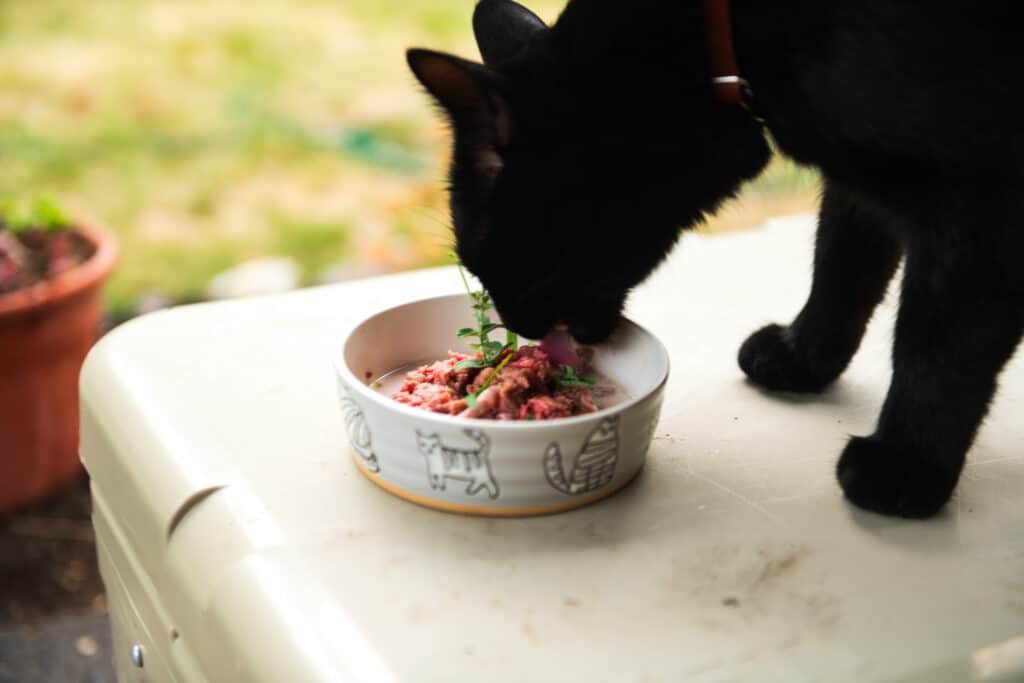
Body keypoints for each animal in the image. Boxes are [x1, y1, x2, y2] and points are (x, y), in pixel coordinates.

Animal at [405, 0, 1024, 518]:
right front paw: (803, 358)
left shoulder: (982, 199)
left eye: (482, 260)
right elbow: (842, 272)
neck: (721, 41)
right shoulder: (859, 179)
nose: (519, 330)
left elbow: (939, 344)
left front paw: (906, 464)